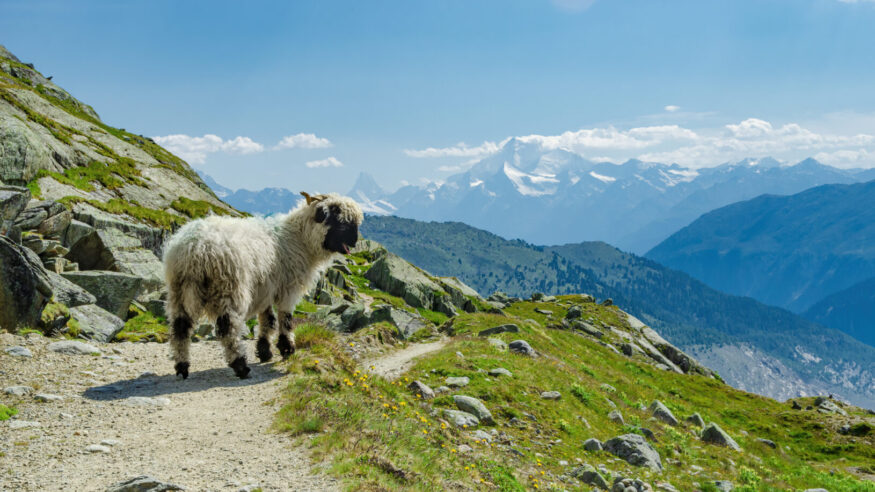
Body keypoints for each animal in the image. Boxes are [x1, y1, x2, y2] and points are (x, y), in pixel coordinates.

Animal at [162, 192, 363, 379]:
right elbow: (285, 319)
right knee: (228, 329)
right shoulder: (287, 288)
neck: (299, 238)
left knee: (180, 328)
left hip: (179, 291)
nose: (354, 242)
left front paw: (265, 351)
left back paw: (182, 367)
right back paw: (240, 366)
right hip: (230, 288)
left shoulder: (266, 288)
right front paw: (287, 348)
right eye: (341, 221)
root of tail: (195, 249)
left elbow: (268, 320)